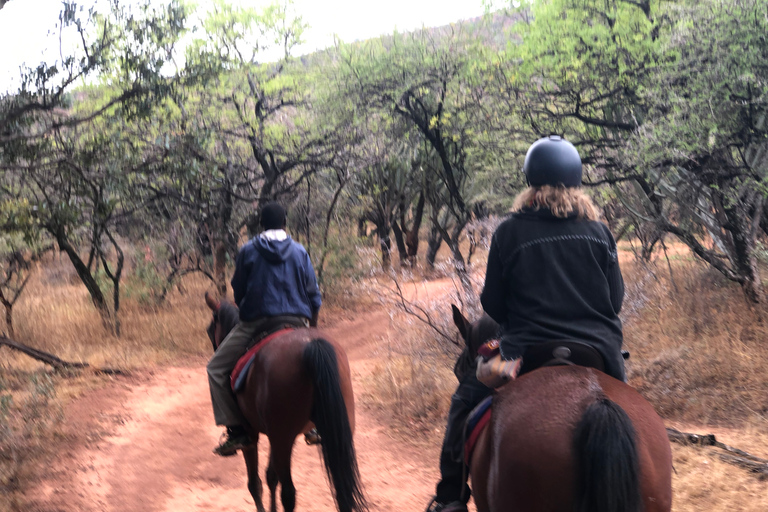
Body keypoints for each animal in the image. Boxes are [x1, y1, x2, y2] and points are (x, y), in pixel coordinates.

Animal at [204, 294, 366, 512]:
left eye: (209, 329)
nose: (216, 347)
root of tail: (311, 345)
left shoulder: (252, 436)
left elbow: (255, 483)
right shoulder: (275, 435)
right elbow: (271, 477)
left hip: (282, 437)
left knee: (288, 493)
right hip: (334, 431)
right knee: (341, 492)